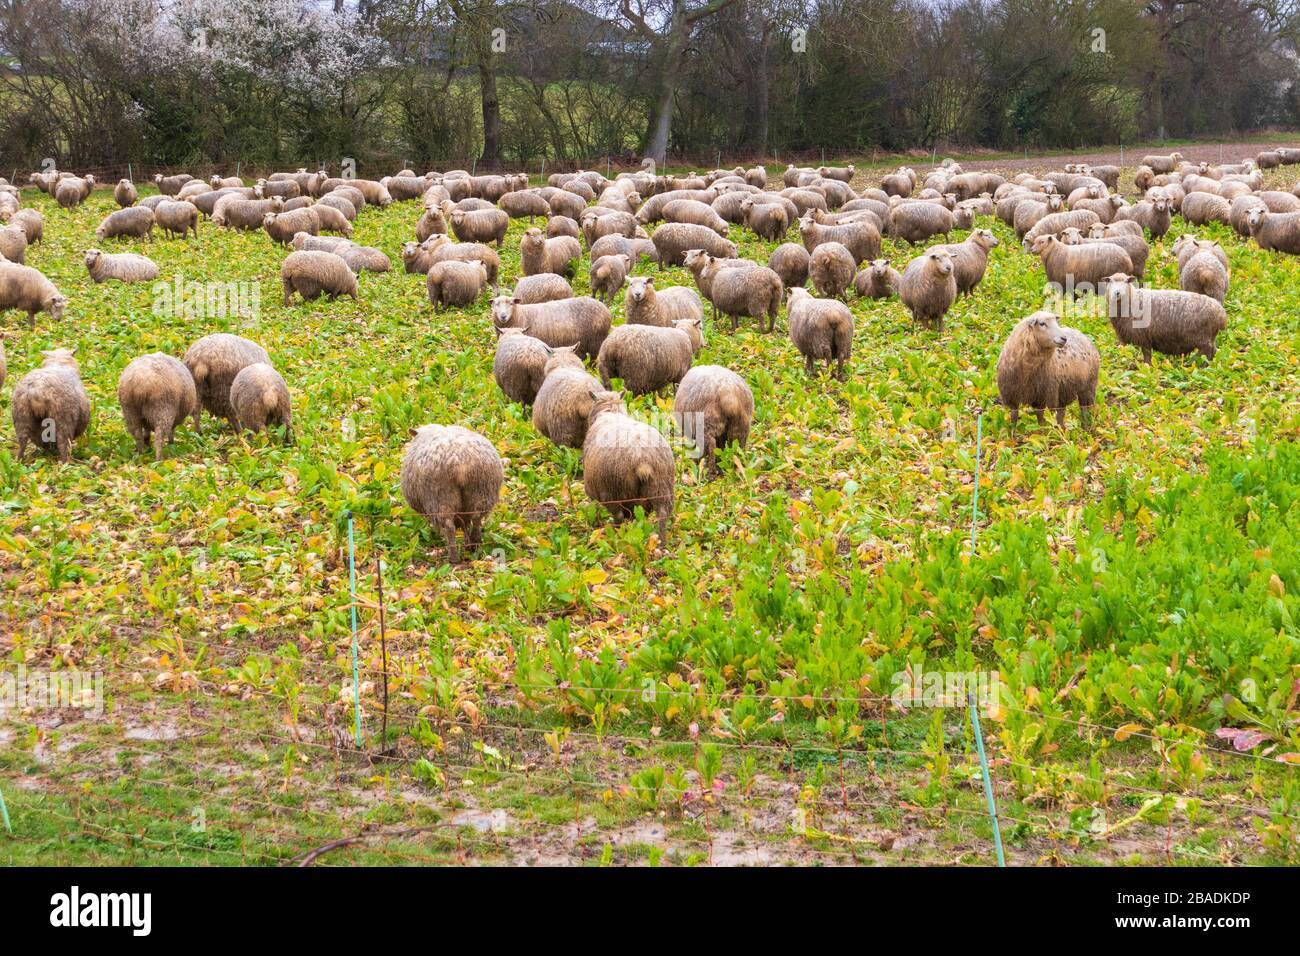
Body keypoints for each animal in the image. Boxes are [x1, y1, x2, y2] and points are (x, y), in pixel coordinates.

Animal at [400, 424, 503, 563]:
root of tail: (461, 463)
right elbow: (465, 524)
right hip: (482, 491)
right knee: (476, 518)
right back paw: (474, 544)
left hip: (440, 497)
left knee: (449, 526)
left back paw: (453, 557)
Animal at [582, 390, 675, 542]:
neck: (610, 412)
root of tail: (642, 458)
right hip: (661, 487)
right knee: (662, 514)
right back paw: (661, 542)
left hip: (613, 491)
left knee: (618, 515)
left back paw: (616, 535)